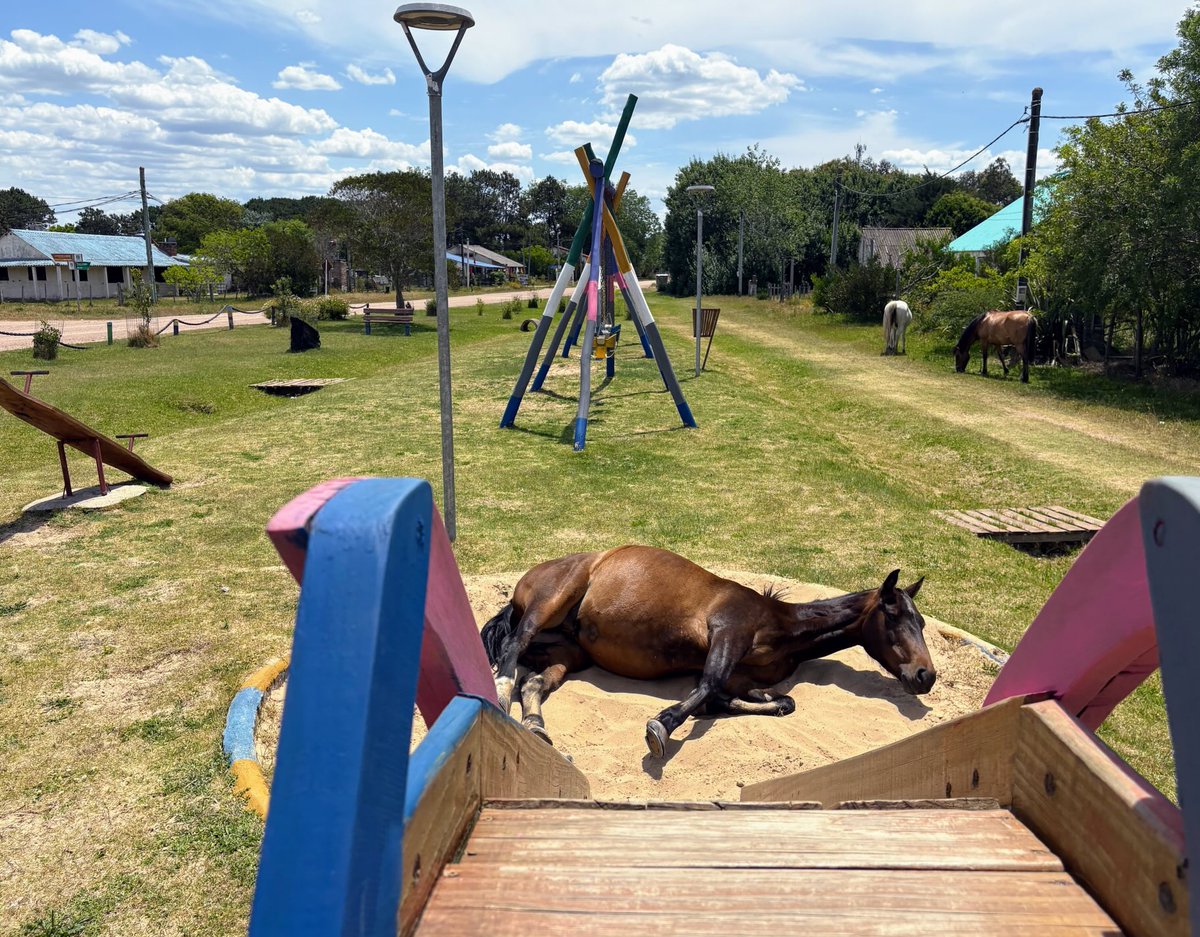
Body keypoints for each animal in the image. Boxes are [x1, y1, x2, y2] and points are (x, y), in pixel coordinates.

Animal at [480, 545, 935, 758]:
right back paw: (500, 694)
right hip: (552, 601)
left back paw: (536, 726)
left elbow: (773, 701)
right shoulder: (727, 634)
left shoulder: (742, 675)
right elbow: (709, 685)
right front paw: (661, 727)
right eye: (893, 615)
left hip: (570, 653)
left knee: (533, 683)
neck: (783, 625)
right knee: (512, 651)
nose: (925, 676)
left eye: (923, 622)